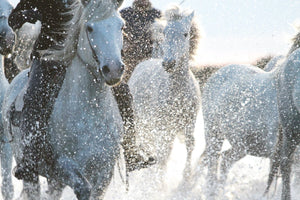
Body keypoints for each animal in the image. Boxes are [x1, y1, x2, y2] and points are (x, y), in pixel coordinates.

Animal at [2, 0, 124, 199]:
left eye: (121, 26)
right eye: (89, 28)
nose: (113, 69)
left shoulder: (104, 173)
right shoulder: (62, 165)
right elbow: (83, 187)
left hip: (55, 181)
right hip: (29, 170)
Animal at [127, 5, 200, 180]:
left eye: (185, 33)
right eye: (165, 33)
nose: (168, 63)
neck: (177, 95)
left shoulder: (189, 122)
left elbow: (190, 144)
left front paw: (186, 177)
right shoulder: (162, 127)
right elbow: (162, 155)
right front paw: (160, 182)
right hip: (143, 123)